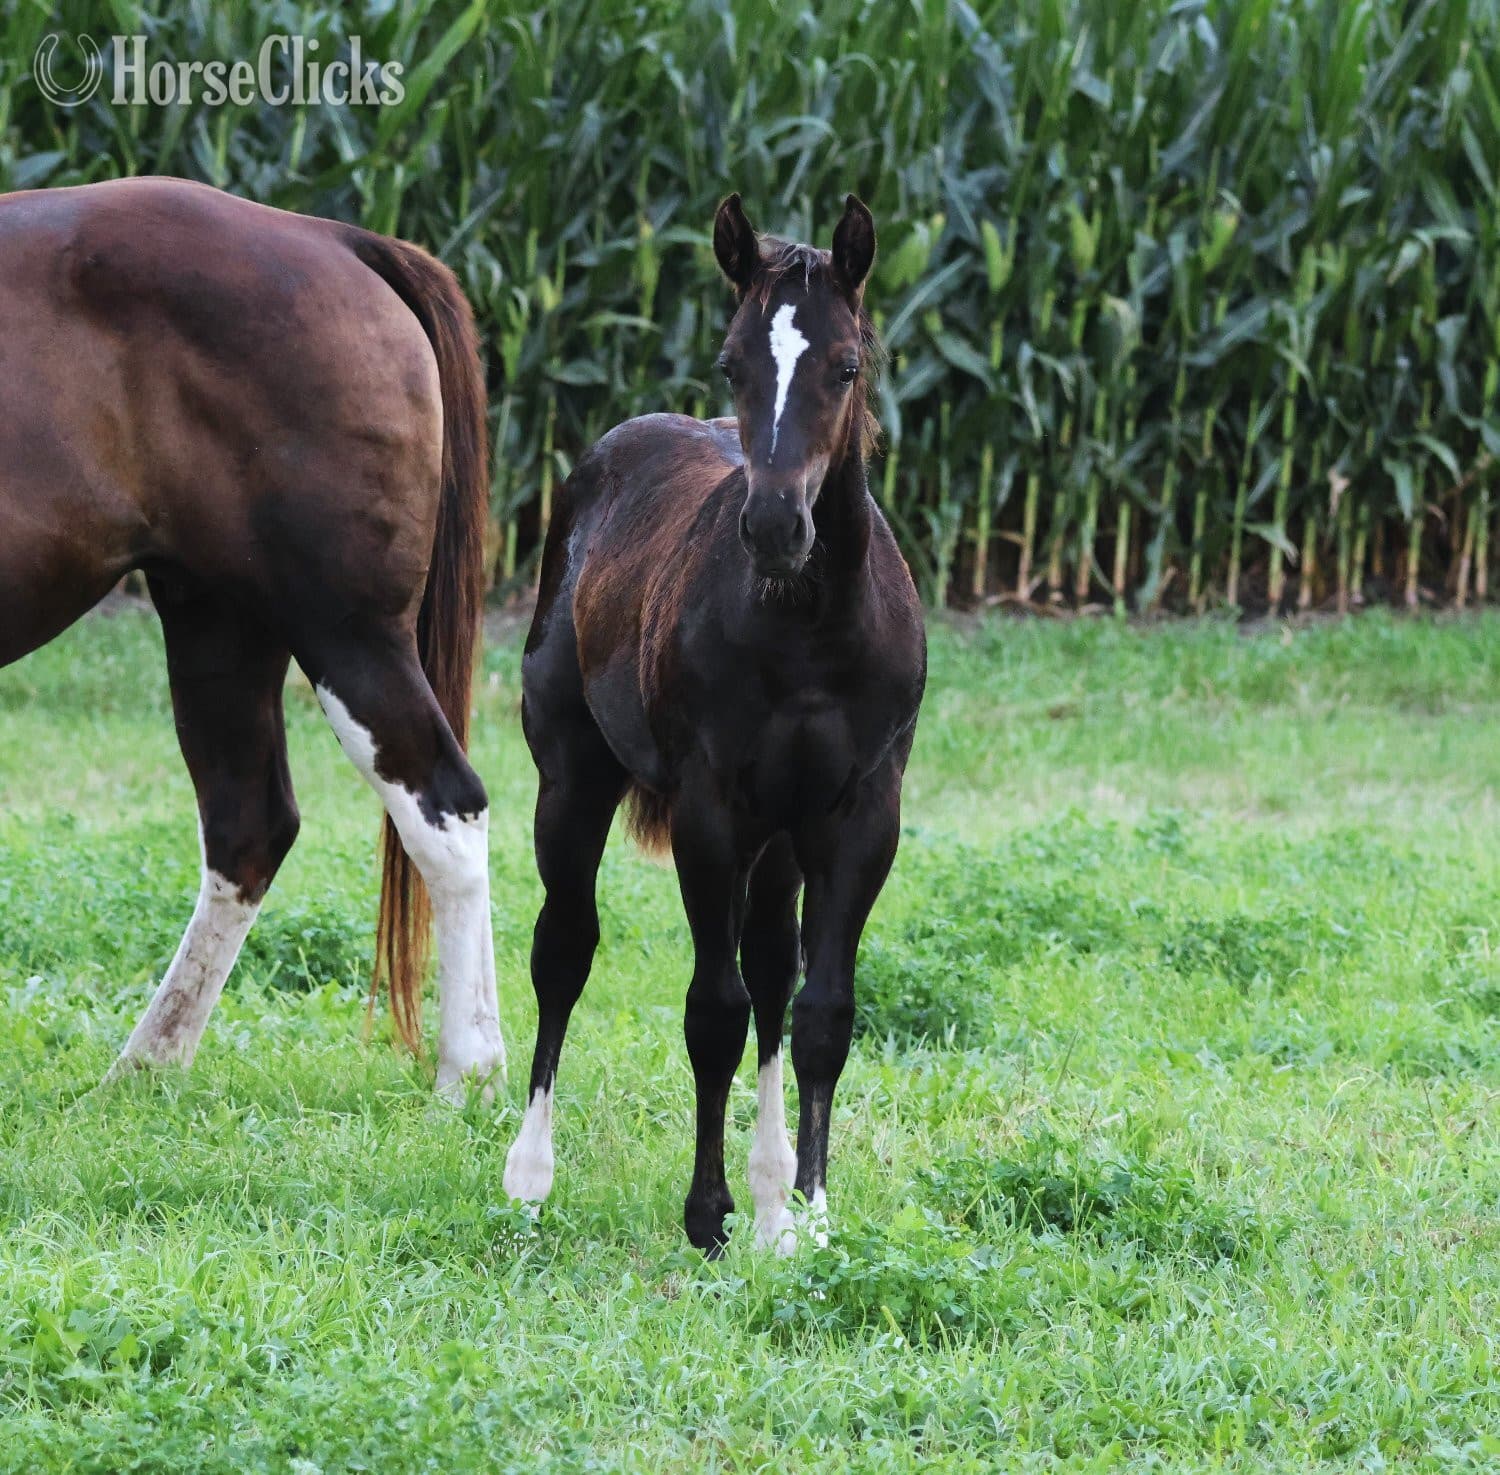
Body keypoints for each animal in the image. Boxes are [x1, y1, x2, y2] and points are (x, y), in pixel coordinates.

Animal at [0, 176, 506, 1098]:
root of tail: (336, 240)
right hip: (221, 625)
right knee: (249, 827)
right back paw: (146, 1065)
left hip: (347, 636)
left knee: (445, 809)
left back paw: (470, 1076)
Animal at [503, 193, 926, 1253]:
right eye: (735, 363)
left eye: (845, 365)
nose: (775, 527)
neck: (810, 631)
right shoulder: (711, 810)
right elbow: (712, 1010)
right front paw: (708, 1214)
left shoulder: (860, 814)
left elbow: (820, 1010)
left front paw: (808, 1212)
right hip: (572, 780)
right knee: (563, 947)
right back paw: (528, 1176)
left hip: (778, 841)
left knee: (774, 971)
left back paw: (775, 1197)